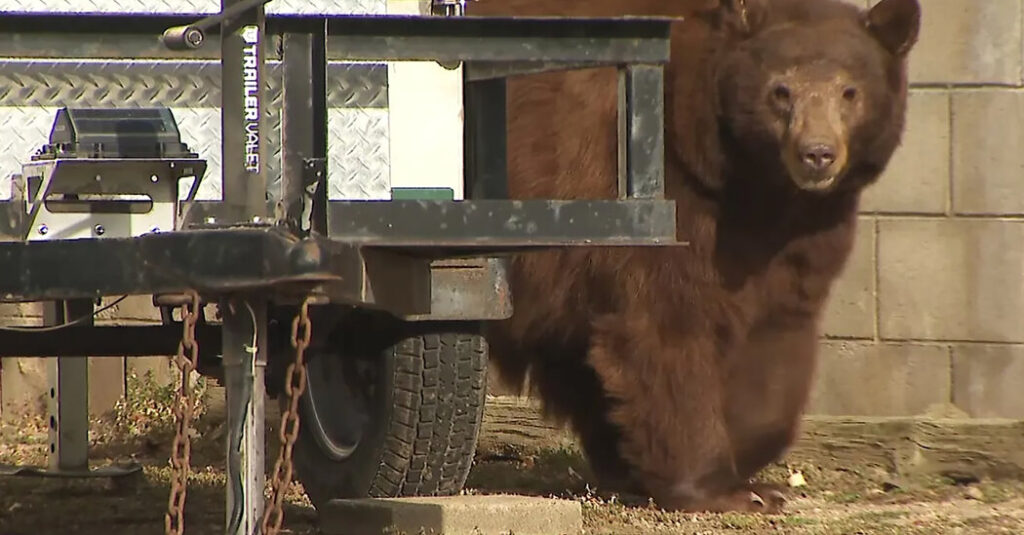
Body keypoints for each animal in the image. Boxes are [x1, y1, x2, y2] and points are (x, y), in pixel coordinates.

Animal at [467, 0, 921, 513]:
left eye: (849, 91)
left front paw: (750, 465)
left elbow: (776, 333)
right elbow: (667, 328)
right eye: (781, 90)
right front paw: (720, 486)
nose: (817, 153)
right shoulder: (661, 195)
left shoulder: (800, 235)